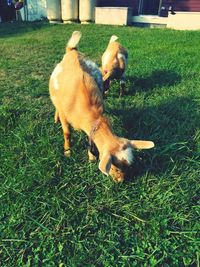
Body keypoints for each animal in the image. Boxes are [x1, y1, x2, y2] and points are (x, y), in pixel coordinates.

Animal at [49, 30, 155, 182]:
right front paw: (67, 151)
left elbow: (90, 140)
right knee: (56, 107)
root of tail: (72, 51)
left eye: (128, 165)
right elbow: (67, 133)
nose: (121, 181)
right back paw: (55, 118)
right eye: (115, 165)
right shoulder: (65, 116)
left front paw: (91, 157)